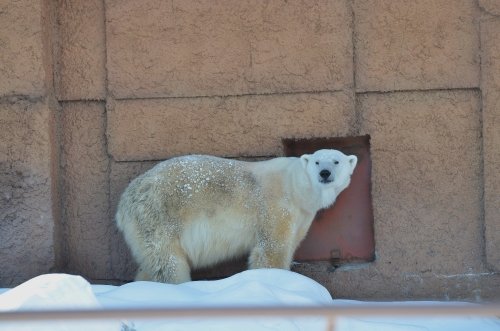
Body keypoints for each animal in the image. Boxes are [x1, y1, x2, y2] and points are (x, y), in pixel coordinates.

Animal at [115, 150, 358, 286]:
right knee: (168, 261)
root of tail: (124, 202)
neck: (296, 186)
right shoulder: (276, 205)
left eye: (336, 161)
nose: (325, 173)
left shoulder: (302, 215)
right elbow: (272, 249)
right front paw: (275, 280)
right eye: (317, 162)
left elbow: (291, 243)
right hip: (158, 214)